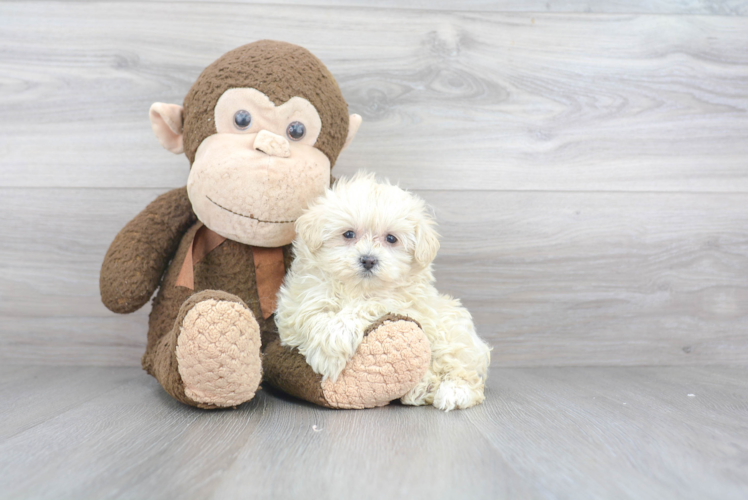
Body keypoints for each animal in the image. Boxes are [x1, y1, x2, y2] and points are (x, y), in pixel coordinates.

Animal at [274, 172, 490, 410]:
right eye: (348, 234)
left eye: (391, 238)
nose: (368, 260)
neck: (357, 289)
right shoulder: (300, 301)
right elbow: (312, 313)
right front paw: (328, 351)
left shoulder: (402, 303)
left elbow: (367, 305)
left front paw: (334, 343)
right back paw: (422, 388)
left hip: (451, 333)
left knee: (463, 370)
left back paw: (452, 391)